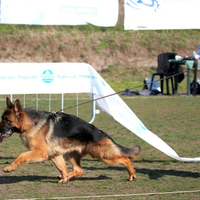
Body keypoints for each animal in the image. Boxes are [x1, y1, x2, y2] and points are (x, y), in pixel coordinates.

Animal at [0, 97, 141, 183]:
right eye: (2, 118)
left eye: (6, 120)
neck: (32, 123)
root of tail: (102, 133)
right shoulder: (55, 154)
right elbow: (61, 167)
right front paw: (64, 178)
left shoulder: (40, 153)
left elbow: (21, 156)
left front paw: (9, 167)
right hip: (70, 155)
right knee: (79, 170)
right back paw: (67, 177)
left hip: (103, 155)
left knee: (125, 158)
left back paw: (132, 174)